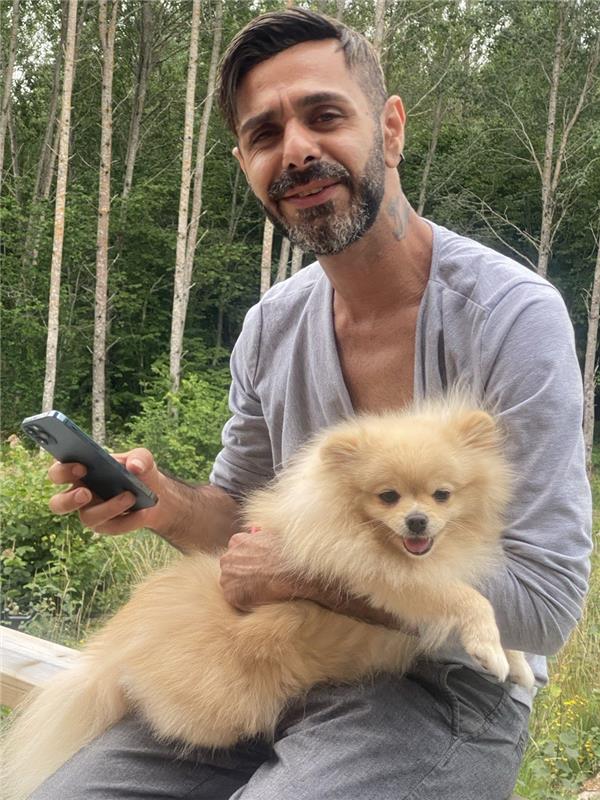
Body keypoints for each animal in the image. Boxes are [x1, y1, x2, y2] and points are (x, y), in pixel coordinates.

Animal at [3, 399, 534, 799]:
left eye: (443, 495)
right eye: (388, 497)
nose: (418, 522)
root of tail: (124, 648)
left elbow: (493, 614)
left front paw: (514, 662)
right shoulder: (381, 578)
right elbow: (466, 599)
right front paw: (492, 649)